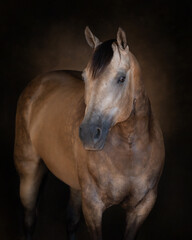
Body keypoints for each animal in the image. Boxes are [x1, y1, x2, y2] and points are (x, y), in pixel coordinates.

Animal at [13, 26, 164, 240]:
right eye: (85, 77)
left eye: (121, 78)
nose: (88, 134)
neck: (130, 152)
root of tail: (39, 82)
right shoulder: (93, 206)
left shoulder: (142, 207)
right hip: (29, 173)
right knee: (29, 219)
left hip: (76, 187)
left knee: (71, 221)